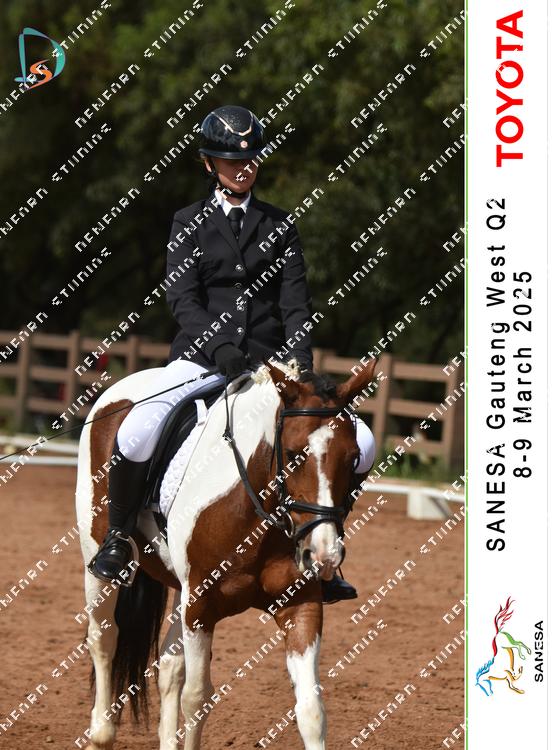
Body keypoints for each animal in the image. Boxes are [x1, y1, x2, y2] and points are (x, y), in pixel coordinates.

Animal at [75, 357, 377, 749]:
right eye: (294, 456)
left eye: (353, 459)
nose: (323, 555)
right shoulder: (200, 605)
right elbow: (196, 698)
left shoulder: (301, 602)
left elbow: (311, 708)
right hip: (99, 559)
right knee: (104, 638)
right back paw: (101, 733)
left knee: (168, 666)